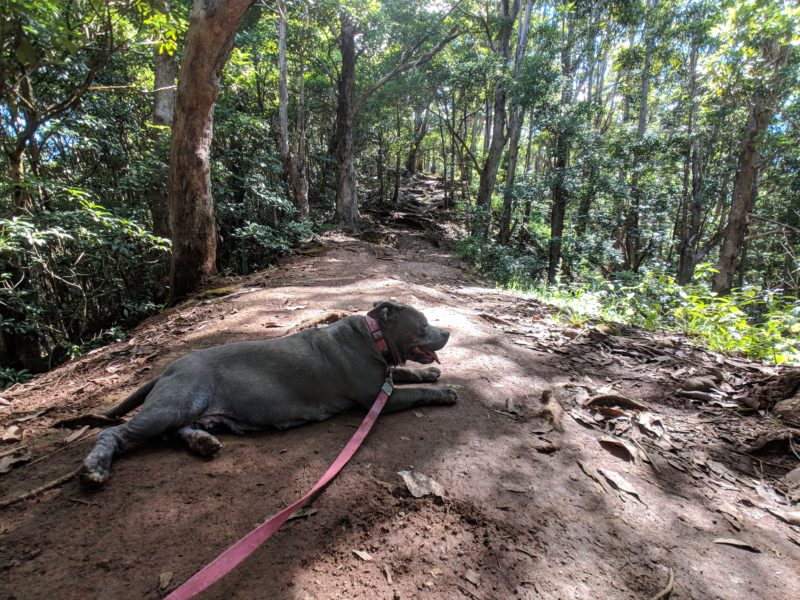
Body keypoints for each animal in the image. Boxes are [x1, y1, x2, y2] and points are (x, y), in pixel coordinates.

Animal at [82, 300, 460, 488]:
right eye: (423, 325)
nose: (447, 332)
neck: (374, 335)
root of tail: (167, 369)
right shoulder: (378, 398)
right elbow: (415, 392)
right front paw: (444, 391)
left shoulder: (386, 376)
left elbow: (406, 373)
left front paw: (429, 373)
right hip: (175, 403)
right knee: (114, 432)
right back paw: (95, 468)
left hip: (191, 408)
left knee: (175, 431)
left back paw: (202, 442)